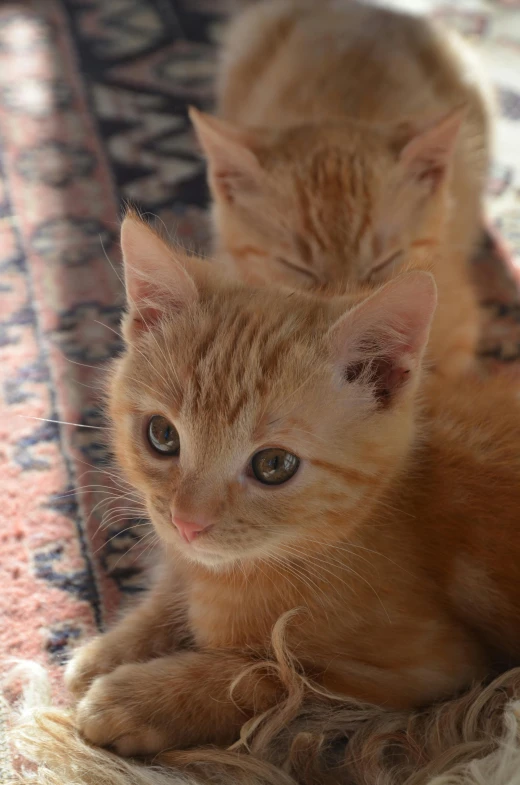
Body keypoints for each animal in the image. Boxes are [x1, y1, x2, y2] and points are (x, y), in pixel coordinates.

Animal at [66, 213, 520, 752]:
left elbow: (272, 675)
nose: (187, 522)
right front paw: (109, 650)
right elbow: (168, 593)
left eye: (274, 465)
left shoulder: (432, 668)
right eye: (162, 435)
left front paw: (136, 700)